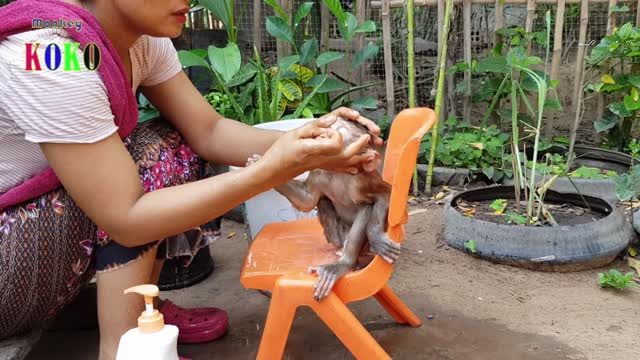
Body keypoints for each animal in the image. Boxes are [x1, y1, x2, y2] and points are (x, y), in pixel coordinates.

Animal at [245, 116, 400, 300]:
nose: (319, 137)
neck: (337, 173)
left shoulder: (362, 180)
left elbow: (386, 195)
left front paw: (377, 238)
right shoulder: (319, 172)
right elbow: (306, 200)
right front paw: (261, 165)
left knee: (366, 209)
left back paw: (344, 263)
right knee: (324, 203)